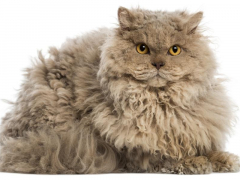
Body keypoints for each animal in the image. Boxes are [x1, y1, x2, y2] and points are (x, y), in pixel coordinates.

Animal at [0, 6, 239, 174]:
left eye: (174, 50)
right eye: (142, 48)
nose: (158, 64)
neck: (160, 104)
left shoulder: (195, 127)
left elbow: (207, 147)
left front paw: (225, 159)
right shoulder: (135, 149)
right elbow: (164, 157)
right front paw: (194, 162)